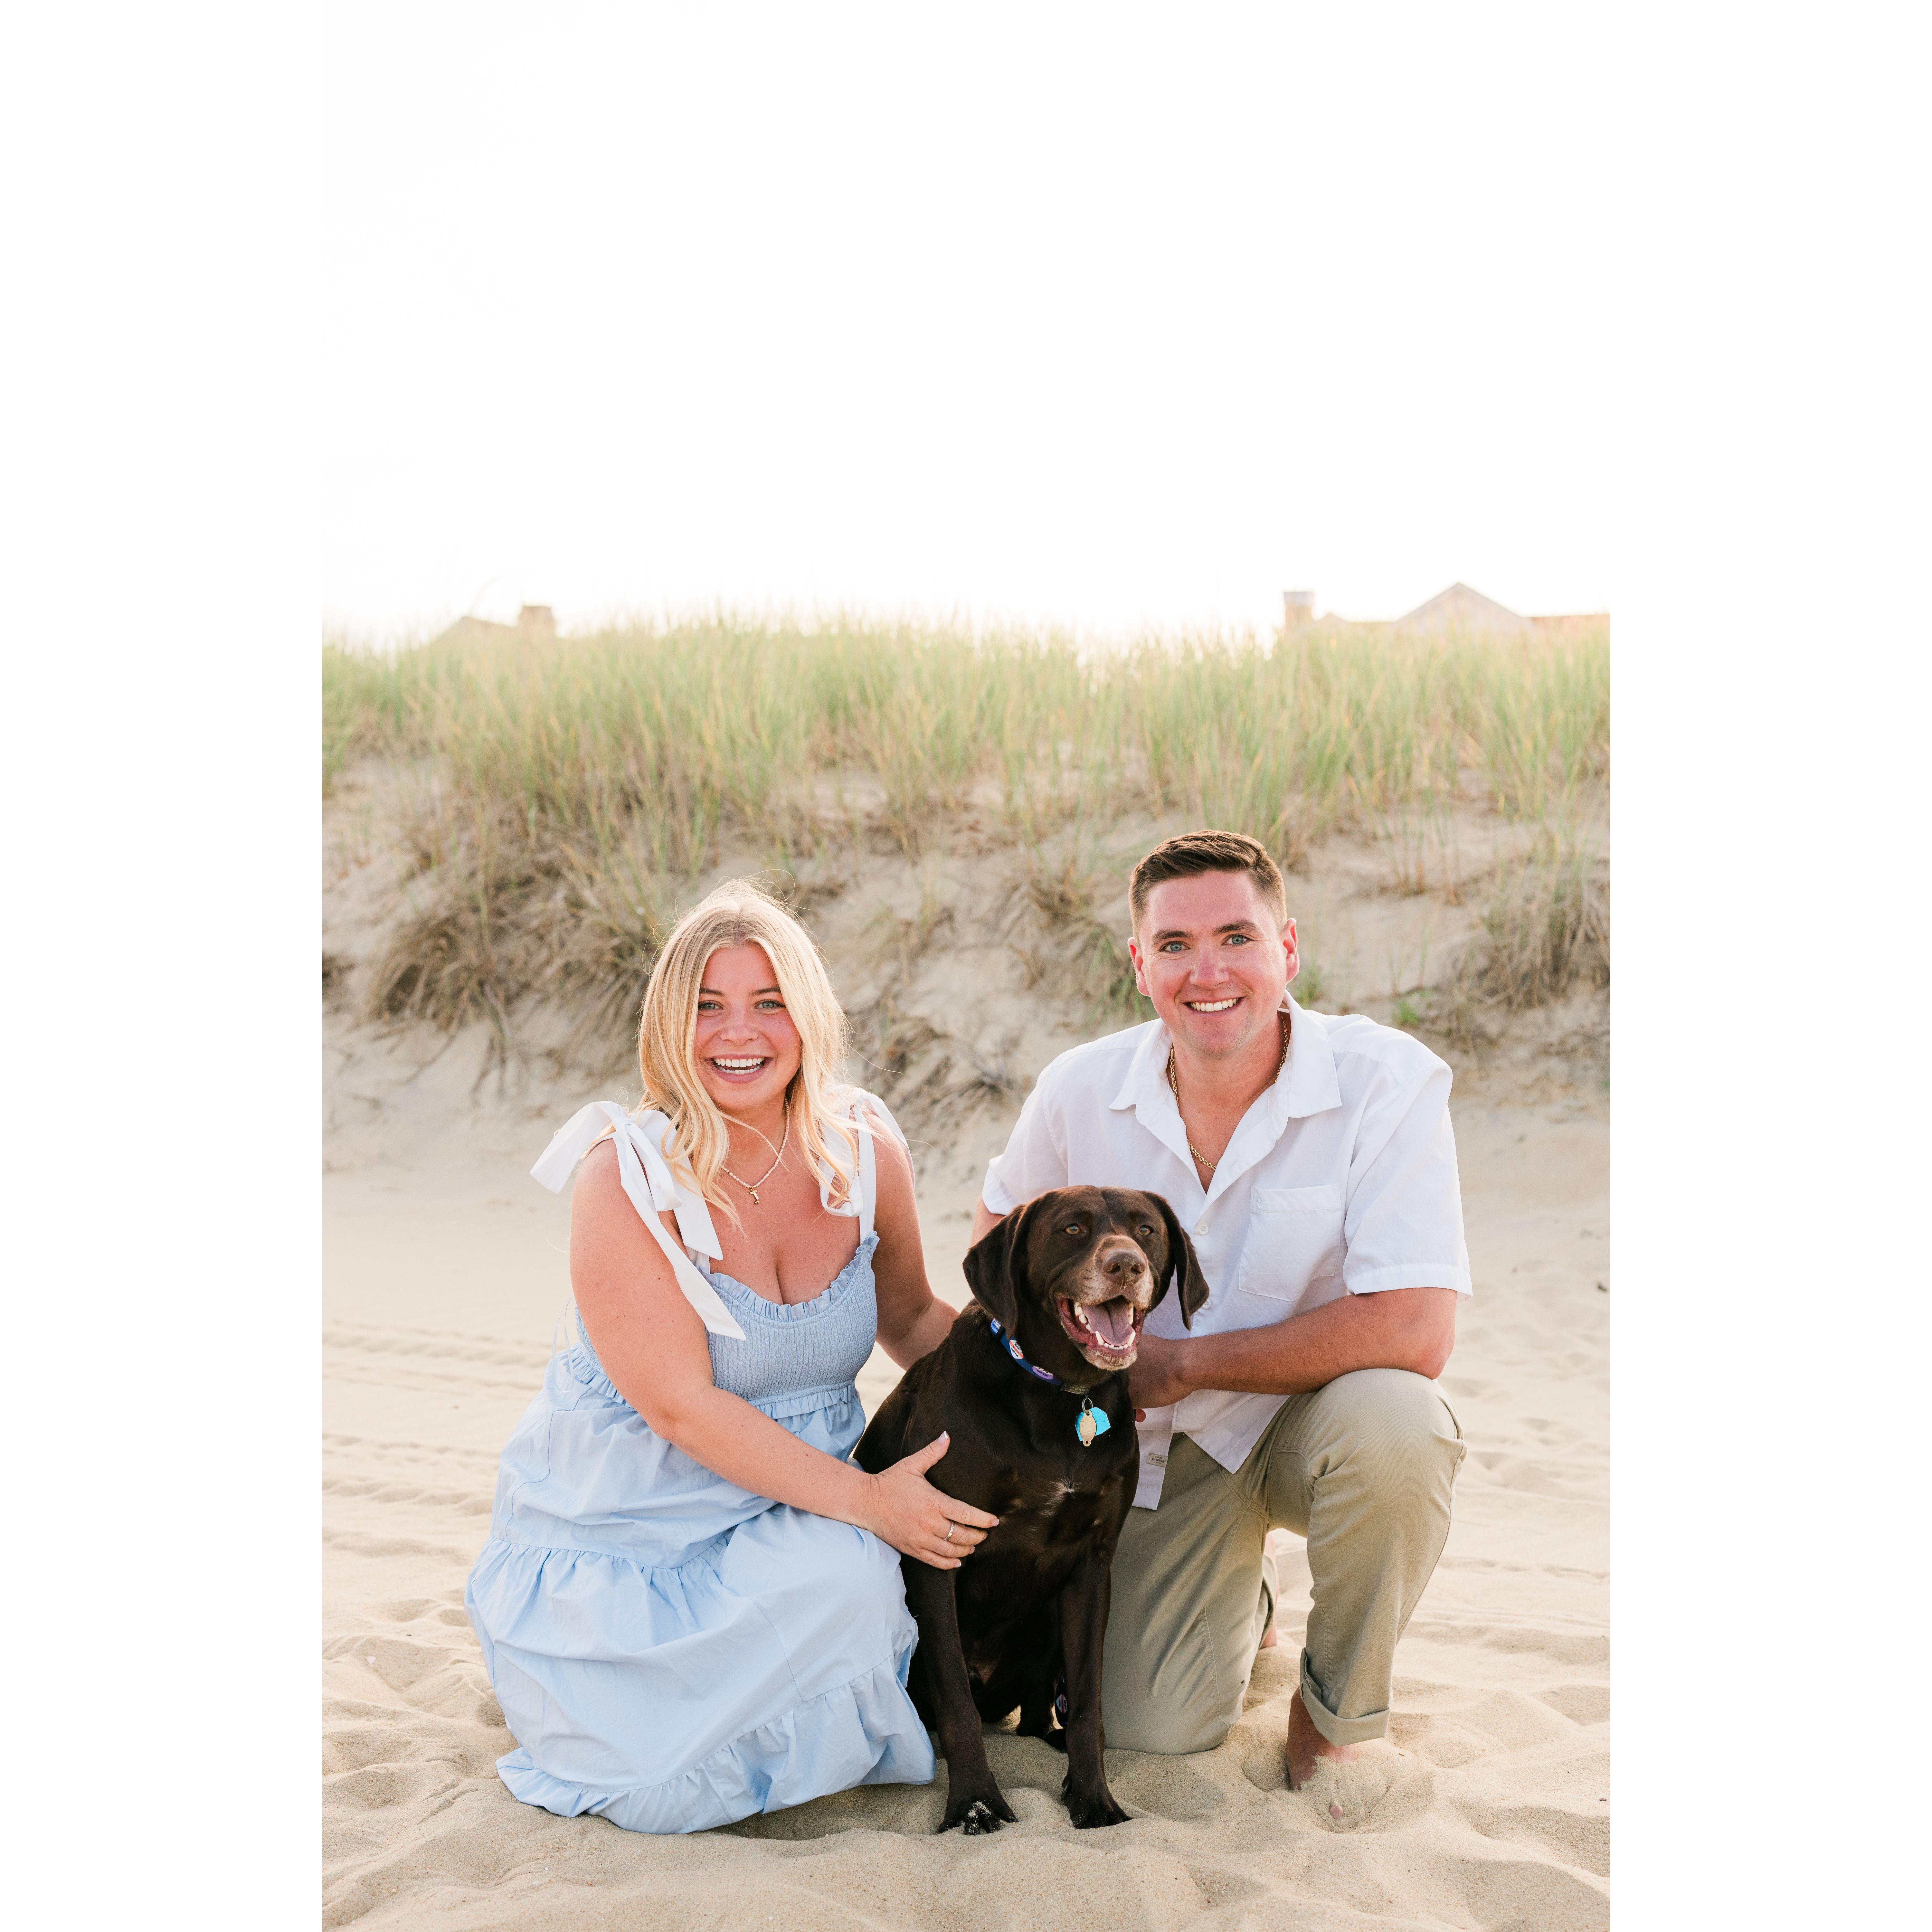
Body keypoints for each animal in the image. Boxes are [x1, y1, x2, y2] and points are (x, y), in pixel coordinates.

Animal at [855, 1187, 1208, 1833]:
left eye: (1146, 1230)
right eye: (1072, 1229)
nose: (1126, 1265)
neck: (1062, 1396)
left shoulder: (1093, 1568)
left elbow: (1089, 1701)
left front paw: (1093, 1799)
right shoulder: (937, 1553)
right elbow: (957, 1702)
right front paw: (974, 1803)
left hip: (1045, 1622)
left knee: (1044, 1708)